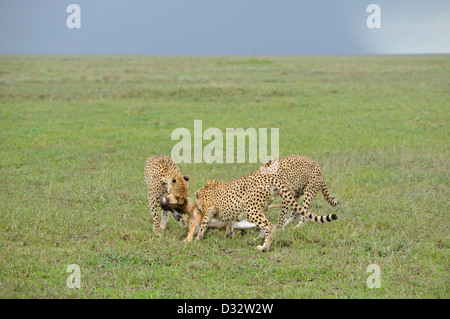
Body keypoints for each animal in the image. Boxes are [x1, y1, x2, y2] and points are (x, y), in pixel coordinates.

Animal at [193, 170, 338, 252]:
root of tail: (268, 176)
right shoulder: (229, 214)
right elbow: (229, 223)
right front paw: (229, 235)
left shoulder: (208, 212)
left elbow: (204, 224)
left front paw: (197, 239)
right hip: (262, 207)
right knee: (265, 226)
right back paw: (260, 240)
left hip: (250, 209)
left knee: (270, 226)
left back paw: (264, 248)